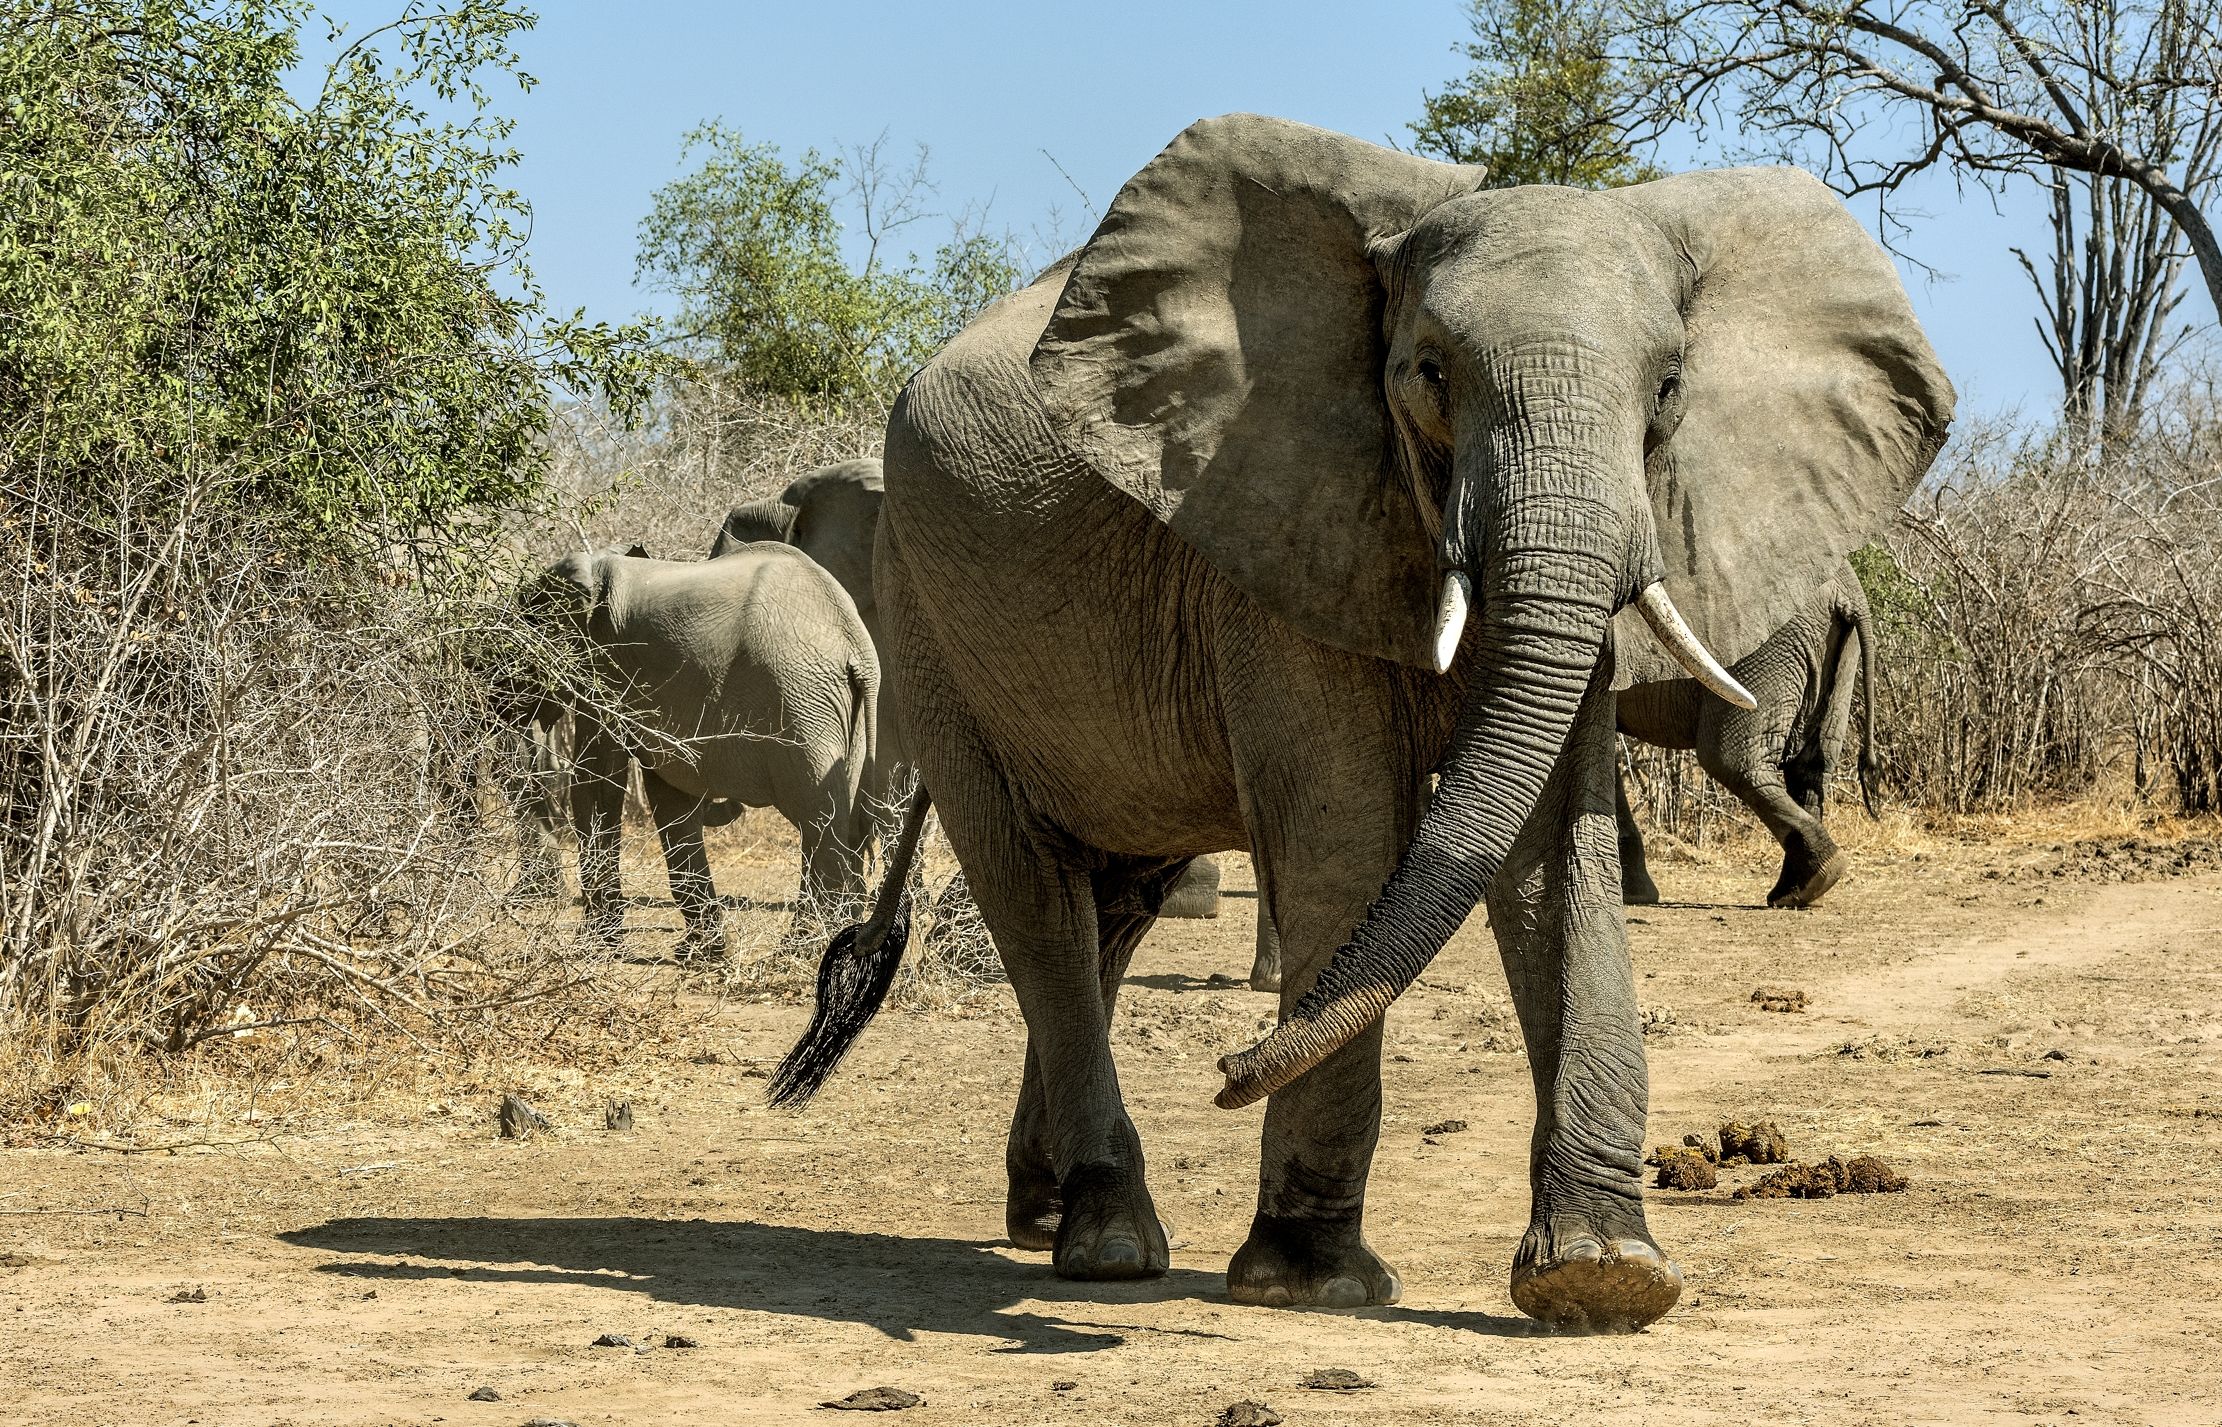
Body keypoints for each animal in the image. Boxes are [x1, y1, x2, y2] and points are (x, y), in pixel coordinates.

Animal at [525, 543, 881, 957]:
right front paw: (699, 952)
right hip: (838, 715)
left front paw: (595, 948)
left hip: (802, 704)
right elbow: (670, 794)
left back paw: (803, 949)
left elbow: (596, 781)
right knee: (835, 818)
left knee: (819, 817)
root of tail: (857, 647)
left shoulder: (605, 665)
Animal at [1614, 561, 1879, 908]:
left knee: (1732, 760)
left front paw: (1631, 895)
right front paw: (1635, 893)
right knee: (1811, 768)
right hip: (1840, 654)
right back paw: (1799, 890)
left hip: (1765, 648)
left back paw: (1814, 878)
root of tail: (1848, 593)